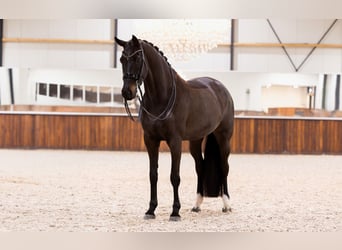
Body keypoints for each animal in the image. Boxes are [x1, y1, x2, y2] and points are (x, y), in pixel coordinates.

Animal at [116, 35, 234, 221]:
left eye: (137, 58)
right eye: (122, 59)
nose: (127, 92)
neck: (161, 98)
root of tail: (220, 88)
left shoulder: (175, 141)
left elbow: (174, 177)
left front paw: (175, 212)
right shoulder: (150, 140)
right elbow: (153, 175)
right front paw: (151, 210)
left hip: (224, 138)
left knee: (224, 167)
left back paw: (227, 204)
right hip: (195, 140)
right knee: (200, 167)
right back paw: (196, 205)